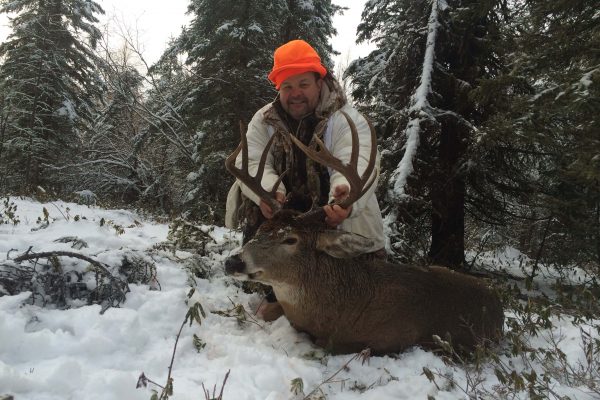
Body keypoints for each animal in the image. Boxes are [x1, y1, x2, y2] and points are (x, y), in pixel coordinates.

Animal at [223, 111, 504, 354]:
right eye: (261, 229)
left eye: (290, 239)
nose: (233, 261)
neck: (342, 310)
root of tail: (499, 305)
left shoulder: (392, 337)